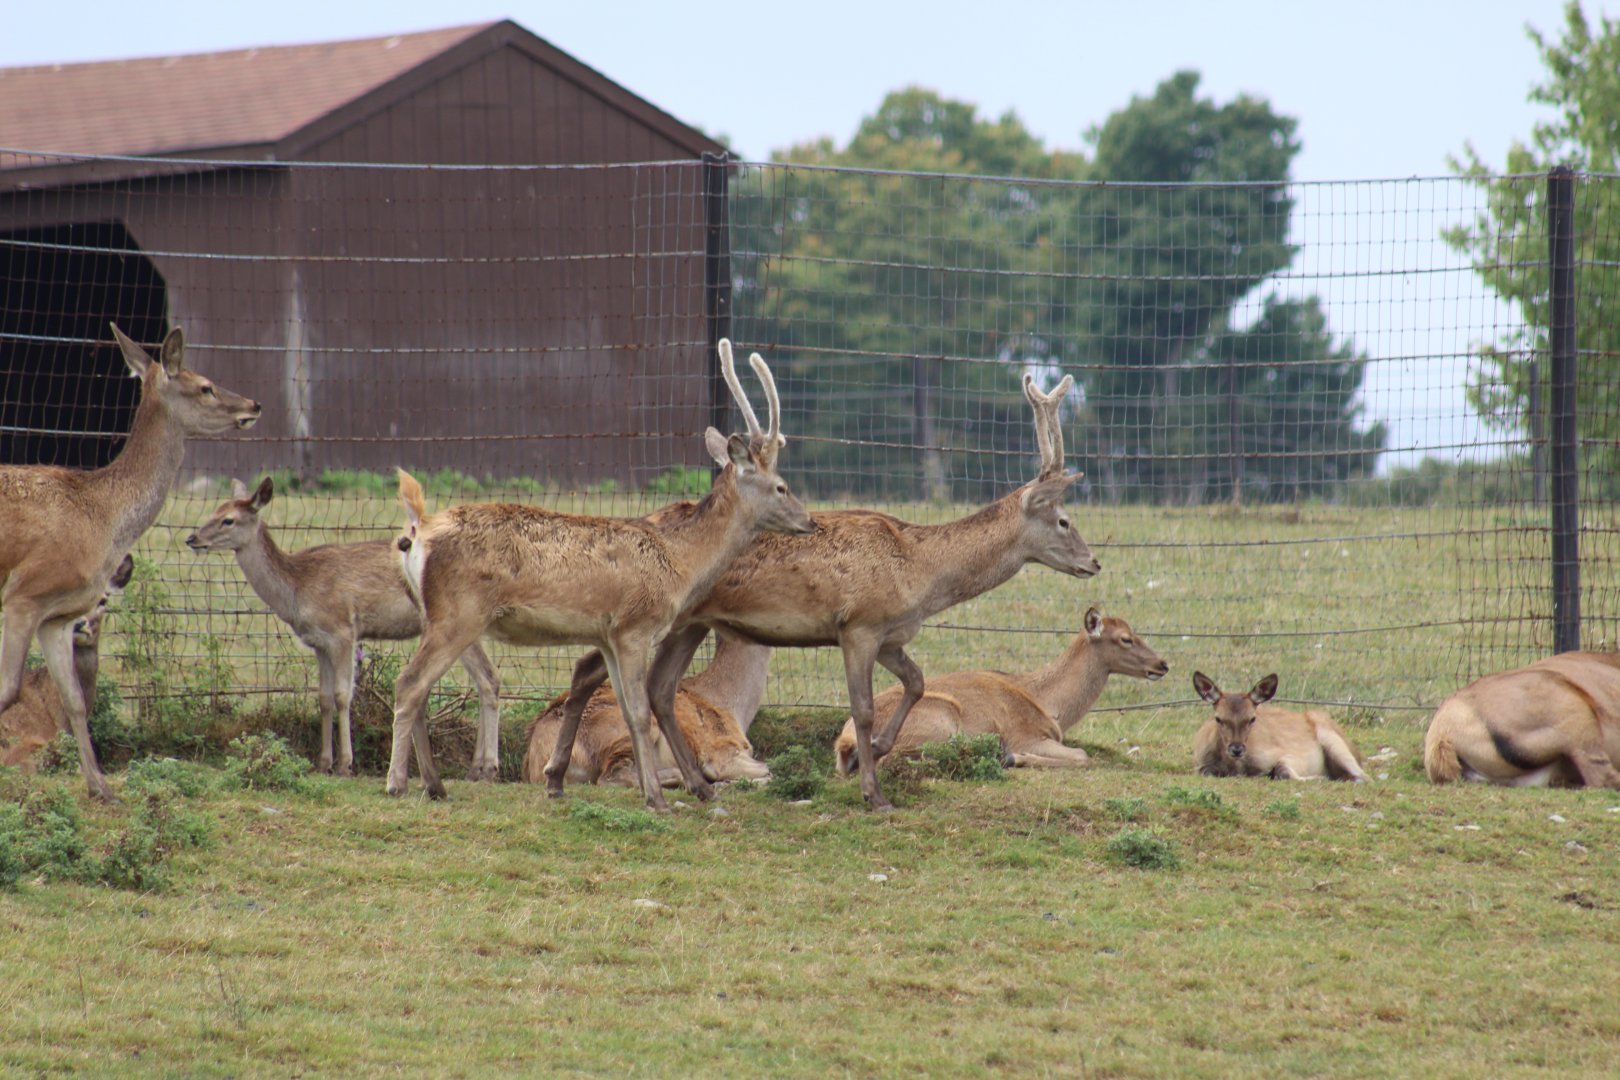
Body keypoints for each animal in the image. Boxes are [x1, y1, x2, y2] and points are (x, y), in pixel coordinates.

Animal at [184, 477, 502, 779]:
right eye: (213, 510)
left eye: (228, 520)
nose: (191, 538)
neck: (297, 588)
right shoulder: (318, 643)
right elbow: (323, 698)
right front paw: (324, 762)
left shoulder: (342, 631)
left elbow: (342, 695)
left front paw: (346, 764)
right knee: (486, 679)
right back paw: (476, 768)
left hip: (455, 619)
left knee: (487, 678)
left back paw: (487, 768)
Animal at [521, 636, 773, 789]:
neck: (731, 705)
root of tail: (536, 760)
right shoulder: (721, 753)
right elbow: (768, 769)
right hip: (623, 730)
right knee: (611, 776)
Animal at [832, 607, 1166, 774]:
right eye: (1125, 638)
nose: (1162, 664)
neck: (1052, 706)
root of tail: (844, 741)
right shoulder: (1025, 735)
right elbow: (1083, 754)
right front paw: (1013, 758)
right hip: (938, 720)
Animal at [1192, 672, 1367, 781]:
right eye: (1218, 718)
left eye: (1252, 718)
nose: (1236, 749)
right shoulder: (1200, 763)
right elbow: (1205, 771)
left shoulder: (1291, 754)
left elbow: (1282, 771)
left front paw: (1320, 777)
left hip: (1332, 740)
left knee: (1364, 776)